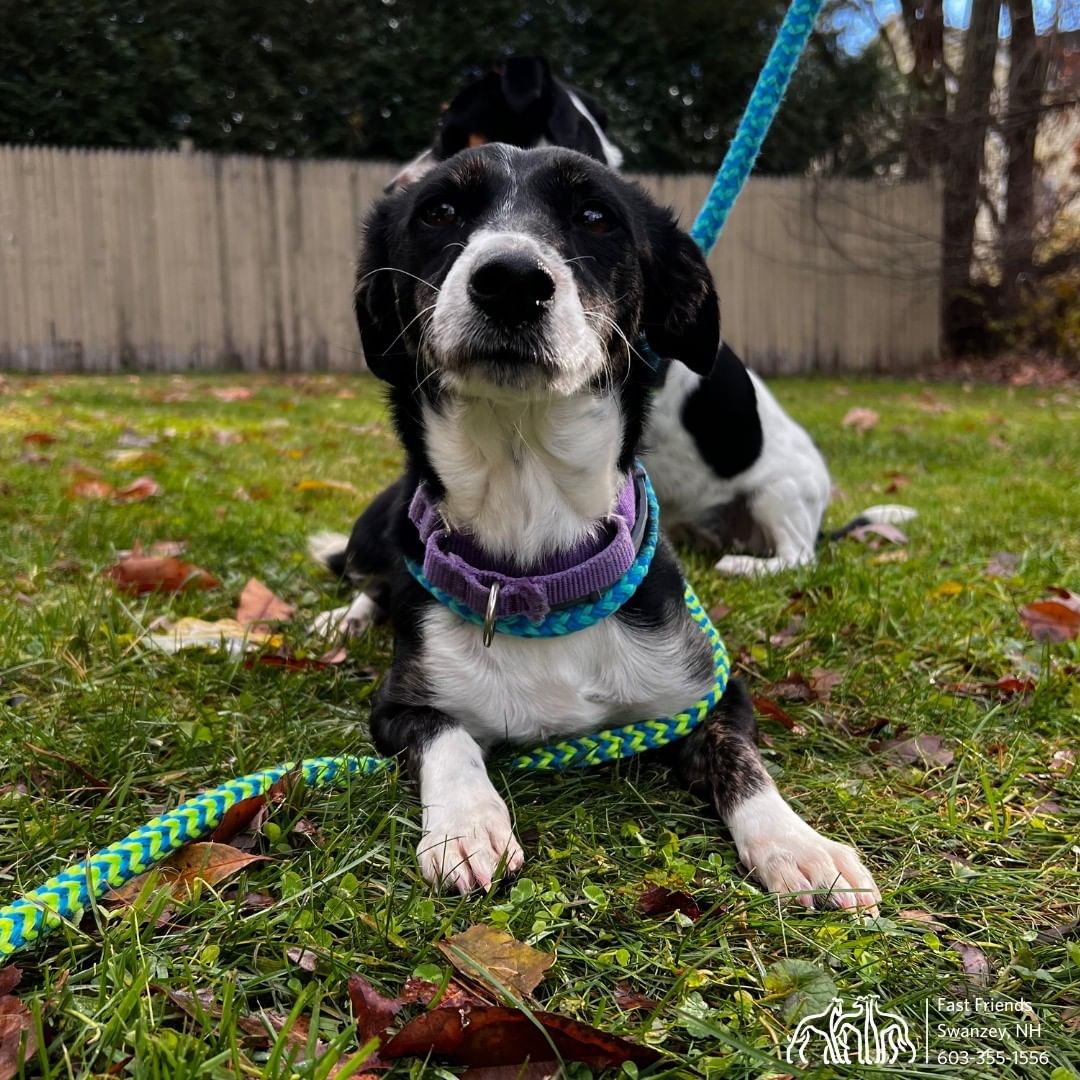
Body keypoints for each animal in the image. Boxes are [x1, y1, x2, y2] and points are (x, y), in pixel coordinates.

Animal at [308, 143, 881, 911]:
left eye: (595, 216)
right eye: (439, 210)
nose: (512, 281)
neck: (539, 560)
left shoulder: (709, 694)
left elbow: (746, 765)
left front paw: (797, 843)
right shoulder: (398, 708)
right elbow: (449, 738)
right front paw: (467, 824)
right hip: (382, 525)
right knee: (367, 579)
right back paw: (341, 619)